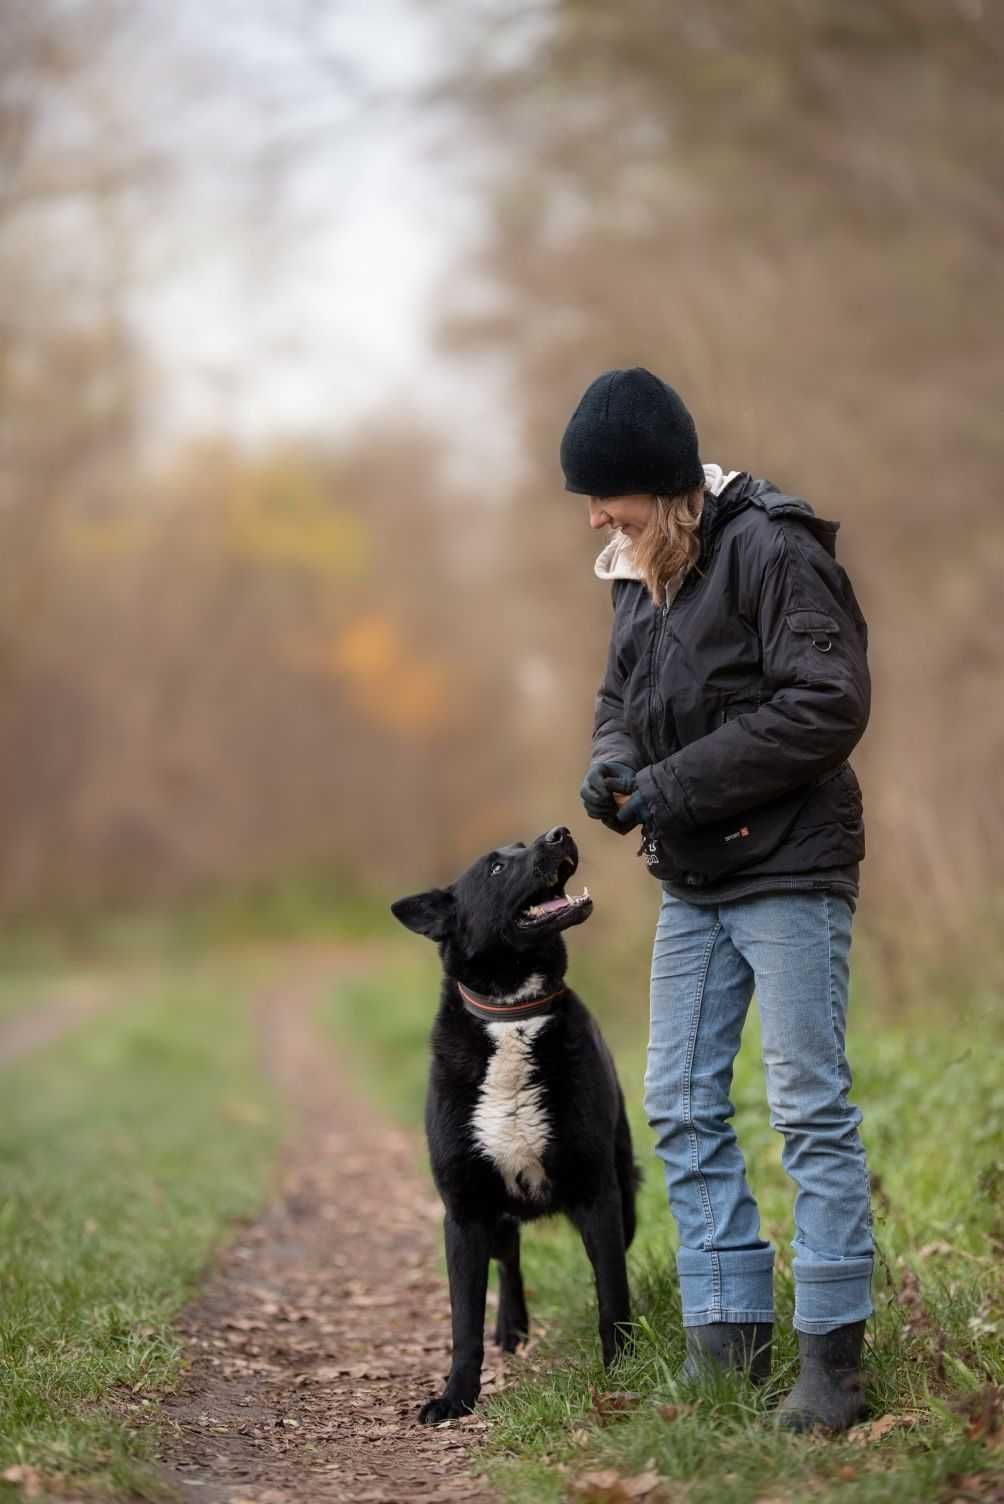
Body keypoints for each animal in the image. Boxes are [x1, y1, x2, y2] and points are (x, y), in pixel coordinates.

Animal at [387, 824, 640, 1419]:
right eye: (496, 868)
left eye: (527, 844)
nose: (561, 832)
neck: (512, 1017)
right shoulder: (464, 1213)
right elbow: (464, 1323)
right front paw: (456, 1398)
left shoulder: (598, 1195)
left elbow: (611, 1294)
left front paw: (622, 1369)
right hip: (495, 1217)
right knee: (510, 1259)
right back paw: (513, 1328)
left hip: (626, 1201)